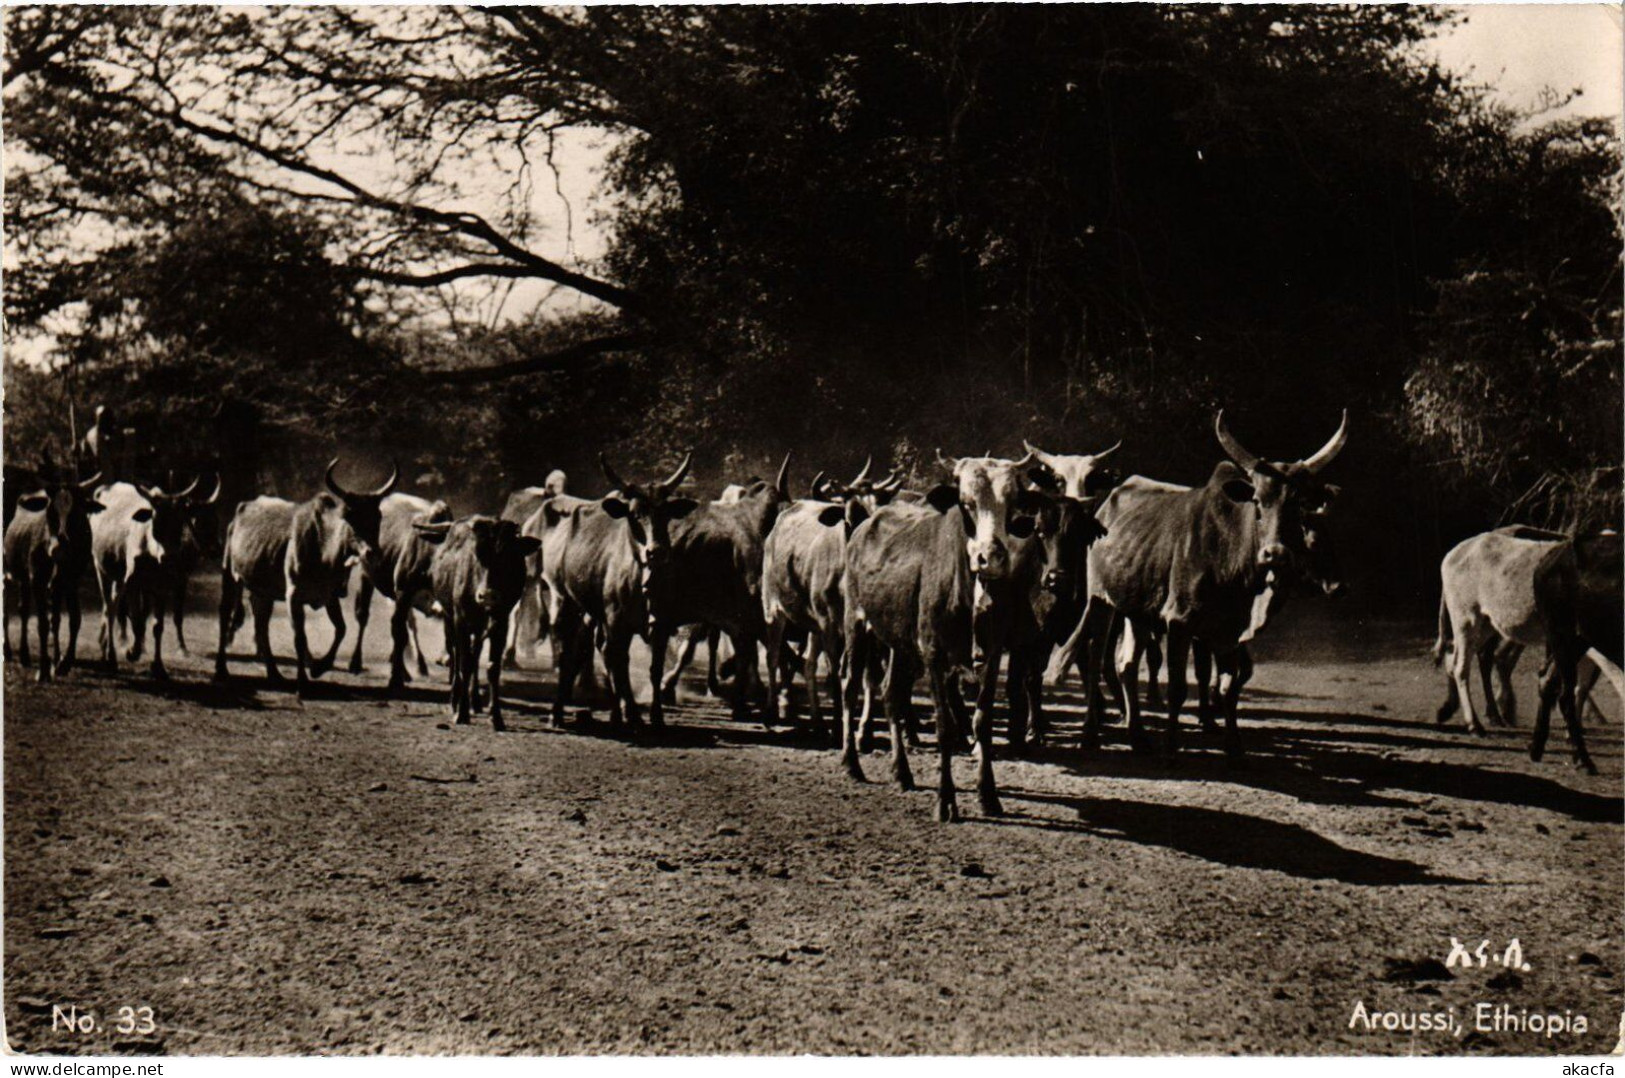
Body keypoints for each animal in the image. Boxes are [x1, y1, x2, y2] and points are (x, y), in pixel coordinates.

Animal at [412, 517, 539, 734]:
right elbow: (464, 664)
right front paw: (461, 712)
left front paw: (496, 717)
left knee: (475, 655)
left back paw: (476, 701)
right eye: (477, 555)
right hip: (450, 620)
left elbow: (492, 667)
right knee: (456, 656)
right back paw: (455, 699)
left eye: (507, 556)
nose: (487, 595)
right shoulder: (460, 621)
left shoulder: (501, 624)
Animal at [1053, 412, 1345, 757]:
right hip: (1100, 601)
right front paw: (1172, 748)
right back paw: (1090, 735)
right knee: (1096, 659)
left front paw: (1234, 749)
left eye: (1298, 507)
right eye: (1258, 502)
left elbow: (1230, 685)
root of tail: (1107, 500)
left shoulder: (1230, 632)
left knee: (1127, 666)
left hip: (1137, 610)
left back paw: (1138, 735)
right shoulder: (1180, 622)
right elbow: (1180, 688)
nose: (1275, 553)